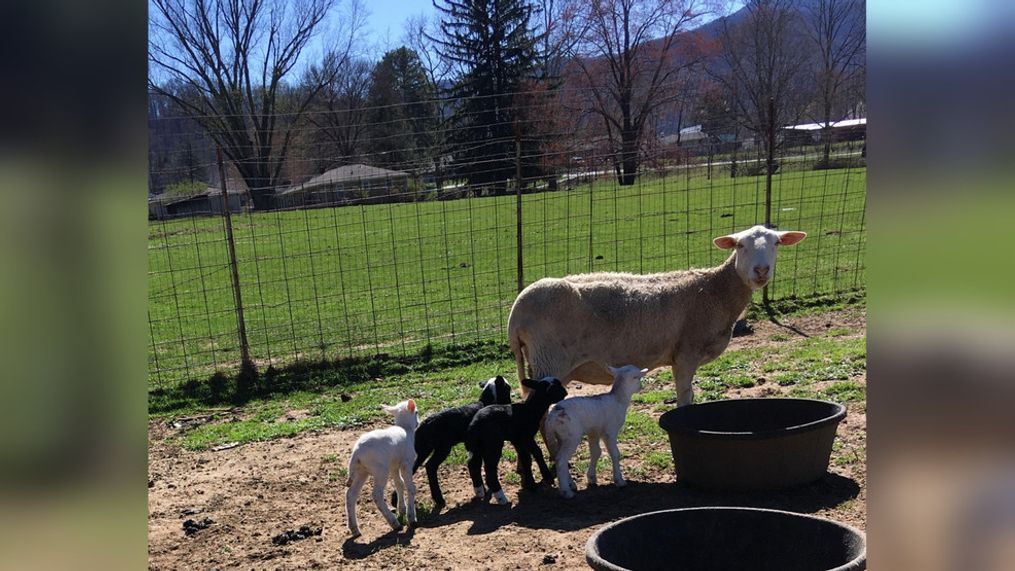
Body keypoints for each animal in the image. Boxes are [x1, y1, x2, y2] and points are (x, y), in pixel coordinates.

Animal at [345, 399, 416, 539]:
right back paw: (394, 523)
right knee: (376, 494)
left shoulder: (394, 466)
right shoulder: (406, 463)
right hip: (380, 470)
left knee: (351, 495)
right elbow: (410, 487)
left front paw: (402, 509)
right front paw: (411, 517)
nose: (417, 423)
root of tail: (356, 453)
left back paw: (354, 529)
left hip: (362, 471)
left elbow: (399, 484)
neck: (406, 429)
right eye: (416, 412)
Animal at [544, 369, 645, 498]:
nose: (641, 387)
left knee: (559, 458)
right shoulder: (610, 431)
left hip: (561, 436)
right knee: (561, 460)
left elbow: (596, 452)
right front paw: (619, 480)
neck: (618, 400)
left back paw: (571, 484)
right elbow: (615, 454)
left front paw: (591, 477)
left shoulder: (594, 431)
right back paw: (567, 492)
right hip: (571, 435)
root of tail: (551, 417)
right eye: (636, 377)